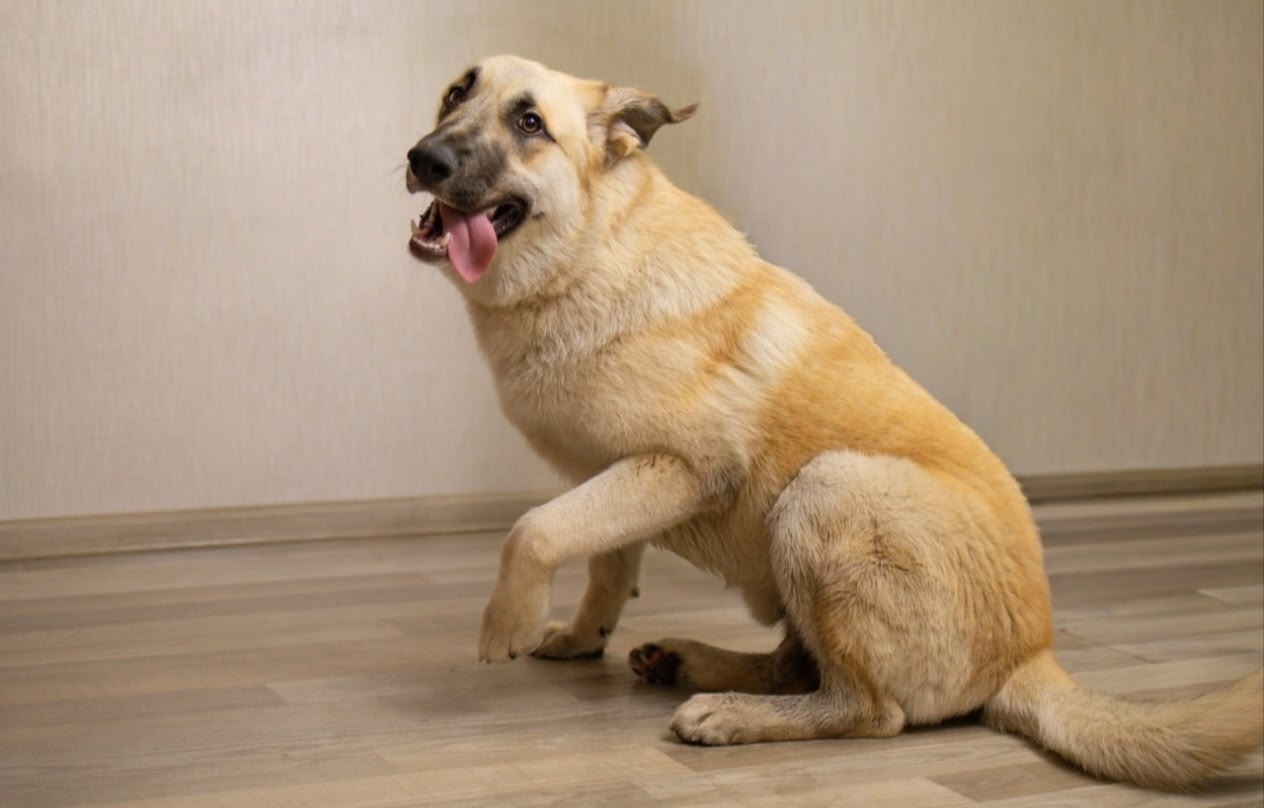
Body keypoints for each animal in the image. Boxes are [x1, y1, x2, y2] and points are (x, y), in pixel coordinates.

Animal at [403, 55, 1263, 791]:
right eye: (456, 93)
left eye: (529, 123)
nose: (423, 159)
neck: (590, 253)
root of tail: (1031, 656)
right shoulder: (608, 481)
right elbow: (603, 565)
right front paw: (584, 637)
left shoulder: (673, 470)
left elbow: (534, 531)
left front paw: (509, 621)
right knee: (799, 664)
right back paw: (694, 666)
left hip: (826, 488)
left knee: (867, 711)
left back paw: (729, 714)